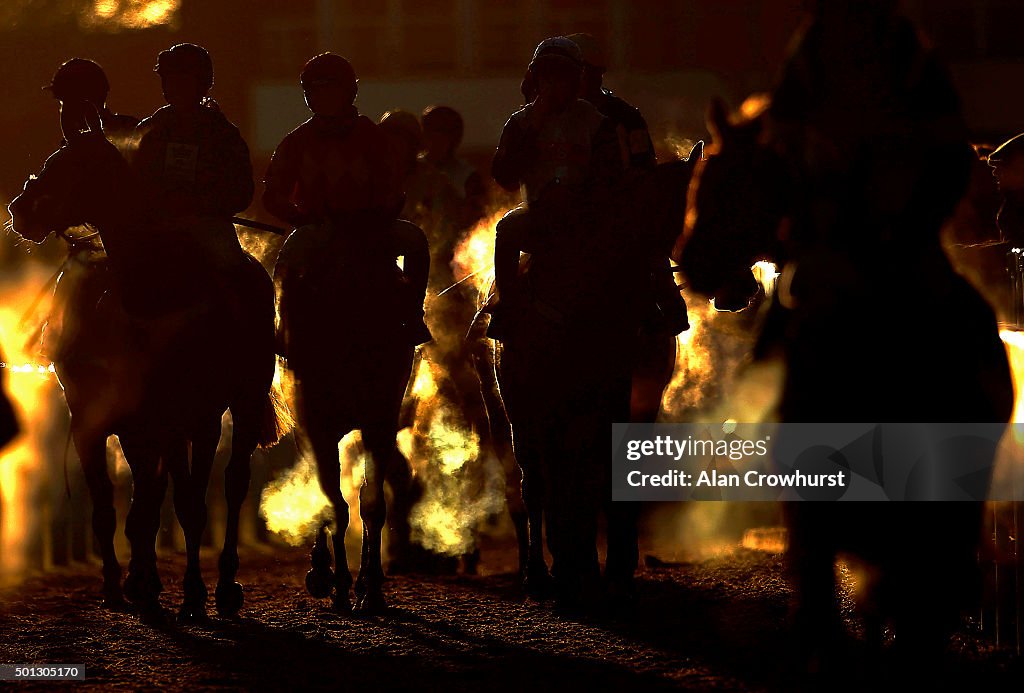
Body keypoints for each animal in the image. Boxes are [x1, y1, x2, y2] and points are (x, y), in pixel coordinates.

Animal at [8, 118, 284, 618]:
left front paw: (193, 592)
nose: (20, 208)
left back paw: (225, 584)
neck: (156, 297)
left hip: (243, 401)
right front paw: (121, 586)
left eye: (69, 163)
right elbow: (116, 505)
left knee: (233, 483)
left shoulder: (193, 416)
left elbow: (187, 501)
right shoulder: (103, 420)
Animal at [491, 147, 700, 605]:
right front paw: (544, 573)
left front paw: (584, 568)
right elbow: (539, 484)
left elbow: (588, 478)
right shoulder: (528, 407)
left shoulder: (603, 399)